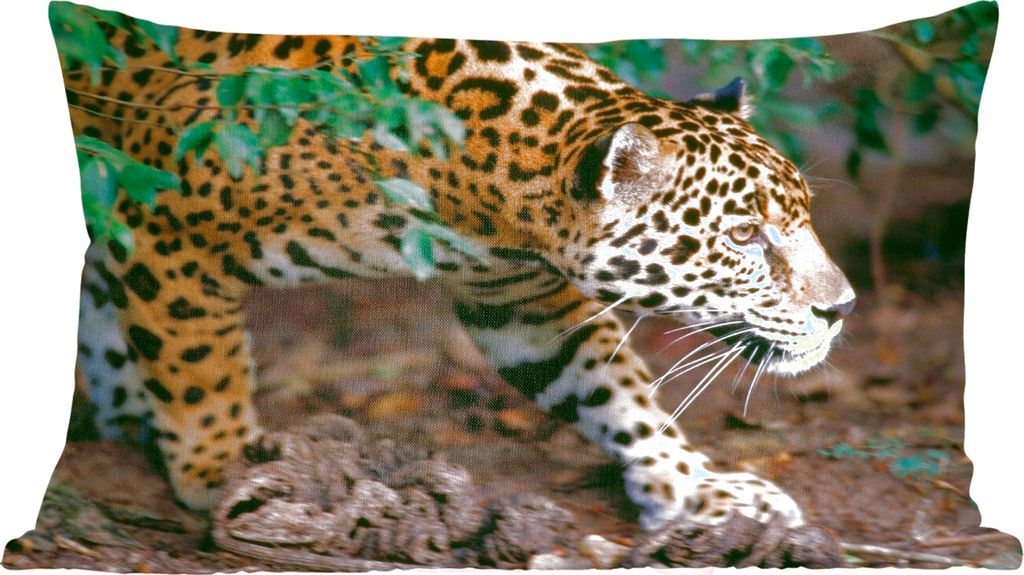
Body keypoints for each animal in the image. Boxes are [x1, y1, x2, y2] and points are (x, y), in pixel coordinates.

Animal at [67, 26, 855, 533]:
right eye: (744, 236)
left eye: (803, 215)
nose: (842, 308)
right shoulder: (161, 226)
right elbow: (203, 367)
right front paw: (222, 469)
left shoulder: (521, 298)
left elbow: (610, 385)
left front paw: (694, 485)